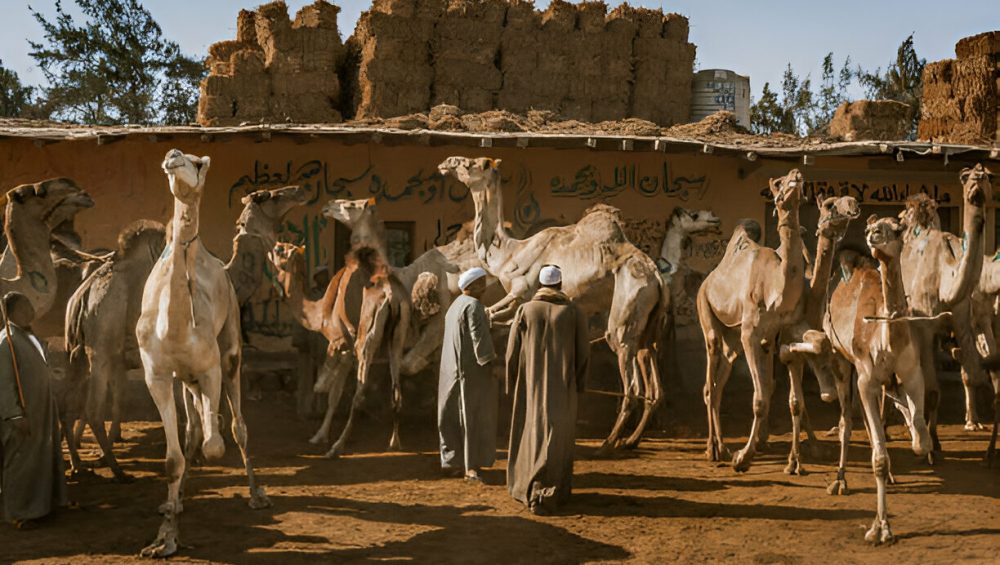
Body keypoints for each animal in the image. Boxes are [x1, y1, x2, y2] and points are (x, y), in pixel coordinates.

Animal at [62, 185, 305, 480]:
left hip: (79, 353)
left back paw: (78, 464)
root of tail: (83, 294)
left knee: (69, 404)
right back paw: (117, 470)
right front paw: (199, 453)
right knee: (93, 409)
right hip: (102, 349)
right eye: (272, 195)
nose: (299, 191)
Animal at [135, 149, 270, 558]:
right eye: (172, 156)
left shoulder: (209, 368)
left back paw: (257, 494)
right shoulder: (157, 375)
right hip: (185, 379)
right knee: (193, 429)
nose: (173, 157)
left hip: (230, 351)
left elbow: (214, 444)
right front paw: (164, 538)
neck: (174, 325)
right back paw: (177, 502)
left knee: (238, 426)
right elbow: (172, 459)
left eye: (199, 163)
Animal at [438, 156, 668, 449]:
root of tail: (657, 278)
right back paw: (631, 440)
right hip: (650, 326)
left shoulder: (519, 292)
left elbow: (492, 312)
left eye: (471, 164)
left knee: (631, 381)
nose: (446, 162)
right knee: (654, 382)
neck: (510, 252)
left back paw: (608, 443)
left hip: (626, 312)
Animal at [698, 169, 807, 471]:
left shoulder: (781, 336)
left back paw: (722, 447)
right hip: (706, 312)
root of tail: (706, 281)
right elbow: (759, 398)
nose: (796, 174)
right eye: (778, 183)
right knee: (709, 384)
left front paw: (793, 461)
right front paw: (743, 458)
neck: (777, 288)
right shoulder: (750, 333)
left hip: (733, 340)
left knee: (719, 382)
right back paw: (714, 449)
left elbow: (785, 396)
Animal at [805, 214, 931, 544]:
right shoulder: (866, 378)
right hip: (842, 361)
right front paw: (881, 528)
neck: (889, 340)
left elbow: (919, 440)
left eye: (897, 228)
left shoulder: (913, 376)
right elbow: (877, 458)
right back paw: (839, 481)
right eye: (870, 228)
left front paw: (917, 433)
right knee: (846, 422)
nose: (874, 234)